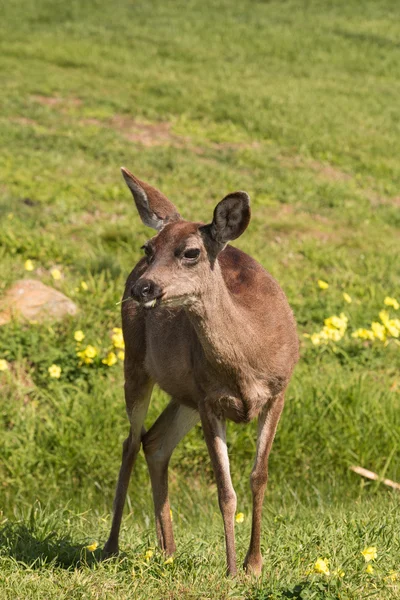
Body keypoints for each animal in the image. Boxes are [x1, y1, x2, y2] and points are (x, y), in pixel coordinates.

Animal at [103, 166, 300, 576]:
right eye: (148, 248)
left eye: (191, 252)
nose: (142, 288)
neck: (249, 358)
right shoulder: (210, 400)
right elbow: (225, 491)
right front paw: (231, 570)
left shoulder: (279, 390)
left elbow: (259, 476)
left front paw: (254, 565)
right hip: (137, 363)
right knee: (131, 442)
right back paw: (111, 546)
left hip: (184, 393)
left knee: (155, 441)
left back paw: (167, 551)